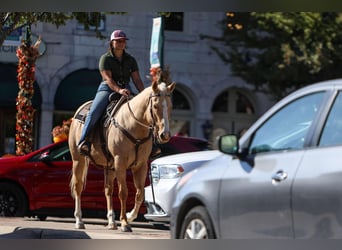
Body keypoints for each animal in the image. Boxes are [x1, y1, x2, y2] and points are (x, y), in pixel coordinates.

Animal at [68, 81, 175, 231]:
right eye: (155, 105)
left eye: (170, 106)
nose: (165, 135)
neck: (133, 125)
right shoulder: (120, 163)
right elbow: (123, 192)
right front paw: (124, 222)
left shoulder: (141, 165)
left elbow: (140, 194)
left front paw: (129, 216)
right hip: (78, 159)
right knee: (78, 187)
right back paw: (79, 220)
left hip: (109, 167)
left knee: (108, 190)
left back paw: (111, 222)